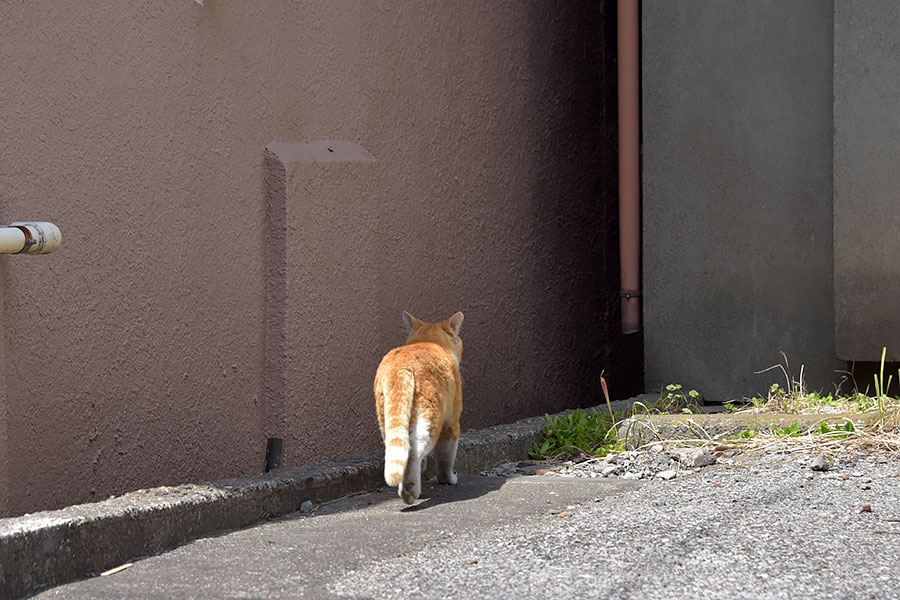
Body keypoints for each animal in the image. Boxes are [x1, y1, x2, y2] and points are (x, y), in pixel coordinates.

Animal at [374, 312, 464, 504]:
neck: (428, 341)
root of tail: (401, 366)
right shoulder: (451, 423)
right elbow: (446, 457)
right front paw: (448, 479)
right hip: (429, 419)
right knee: (414, 451)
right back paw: (410, 491)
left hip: (386, 418)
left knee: (399, 448)